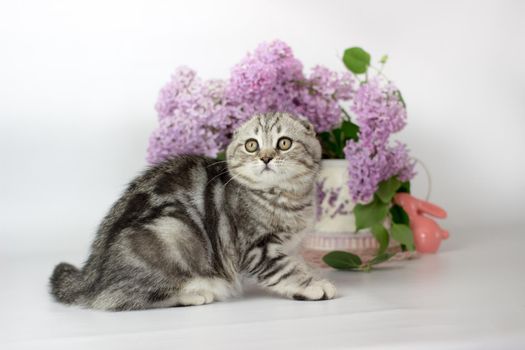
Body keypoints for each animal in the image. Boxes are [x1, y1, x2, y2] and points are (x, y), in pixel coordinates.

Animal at [49, 113, 336, 312]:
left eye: (284, 143)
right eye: (252, 145)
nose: (265, 157)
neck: (284, 196)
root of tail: (91, 276)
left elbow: (294, 262)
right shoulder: (257, 248)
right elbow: (285, 270)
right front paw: (313, 286)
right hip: (172, 230)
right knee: (118, 299)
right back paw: (193, 294)